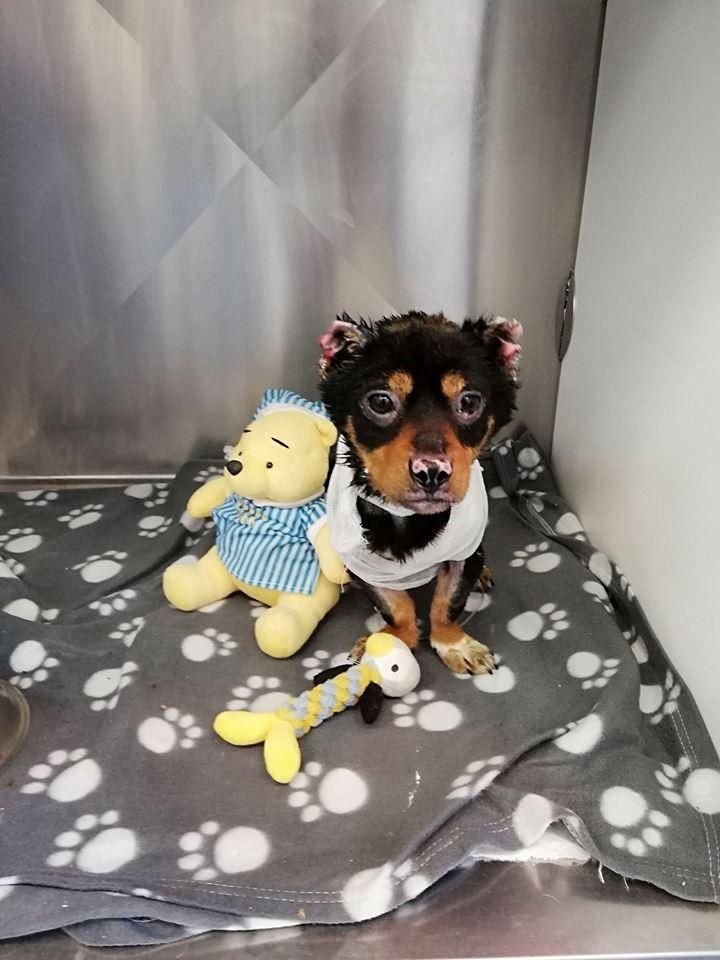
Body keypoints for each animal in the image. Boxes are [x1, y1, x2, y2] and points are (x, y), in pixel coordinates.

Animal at [318, 311, 522, 675]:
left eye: (470, 401)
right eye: (380, 401)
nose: (431, 472)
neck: (408, 519)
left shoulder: (462, 555)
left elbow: (448, 603)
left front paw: (453, 644)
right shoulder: (364, 566)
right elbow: (394, 605)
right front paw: (396, 638)